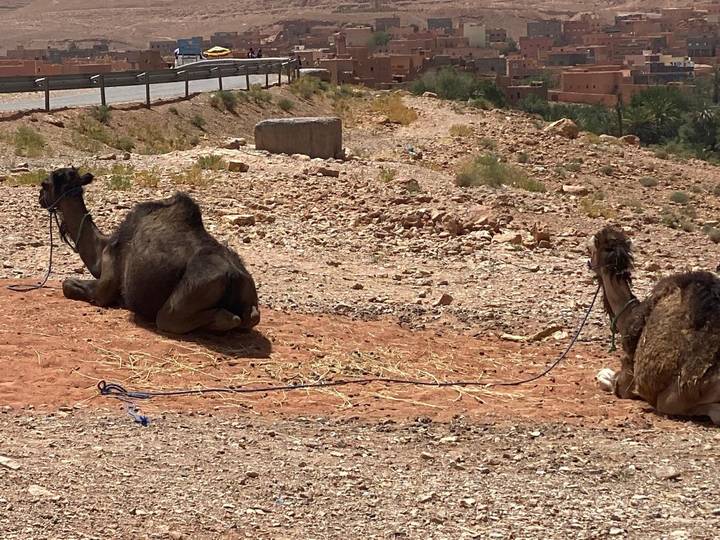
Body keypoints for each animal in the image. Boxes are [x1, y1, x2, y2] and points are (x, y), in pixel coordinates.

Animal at [38, 167, 260, 334]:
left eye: (44, 184)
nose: (40, 197)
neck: (102, 248)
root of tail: (234, 275)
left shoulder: (106, 283)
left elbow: (68, 285)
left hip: (194, 290)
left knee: (170, 318)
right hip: (248, 289)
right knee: (252, 316)